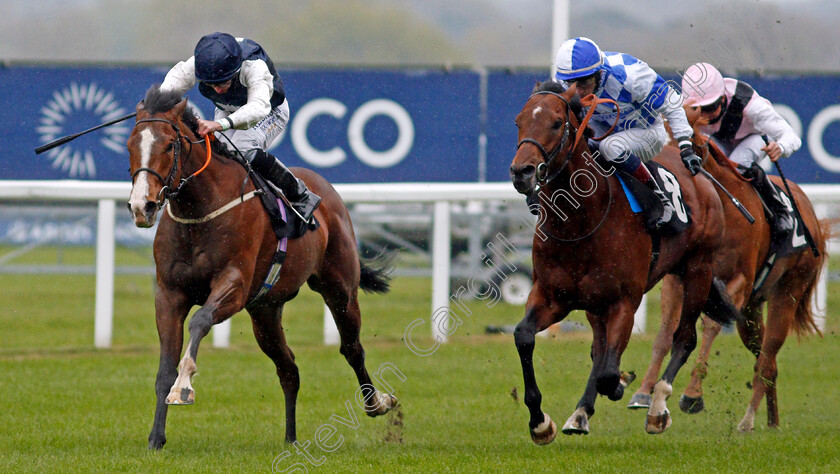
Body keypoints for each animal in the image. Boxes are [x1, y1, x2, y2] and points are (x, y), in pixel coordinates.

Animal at [127, 84, 398, 448]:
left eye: (170, 144)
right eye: (131, 144)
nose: (141, 206)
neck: (200, 211)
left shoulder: (235, 285)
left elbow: (199, 322)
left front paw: (184, 386)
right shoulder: (170, 294)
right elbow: (164, 368)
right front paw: (156, 438)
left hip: (339, 288)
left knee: (352, 348)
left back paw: (377, 403)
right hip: (266, 312)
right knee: (289, 369)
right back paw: (291, 439)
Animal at [508, 82, 740, 444]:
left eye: (557, 123)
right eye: (519, 121)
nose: (522, 172)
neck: (580, 222)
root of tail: (702, 177)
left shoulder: (624, 302)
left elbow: (608, 371)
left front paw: (620, 382)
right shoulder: (551, 295)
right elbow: (524, 336)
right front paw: (539, 422)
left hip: (696, 270)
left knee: (685, 337)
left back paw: (657, 407)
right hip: (598, 302)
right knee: (599, 347)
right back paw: (581, 413)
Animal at [632, 108, 828, 434]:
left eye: (684, 141)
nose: (662, 176)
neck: (723, 209)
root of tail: (812, 214)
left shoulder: (740, 280)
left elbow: (710, 326)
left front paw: (692, 395)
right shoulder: (677, 279)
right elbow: (665, 332)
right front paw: (644, 391)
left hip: (786, 293)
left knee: (767, 358)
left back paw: (747, 421)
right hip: (750, 312)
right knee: (767, 361)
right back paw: (771, 421)